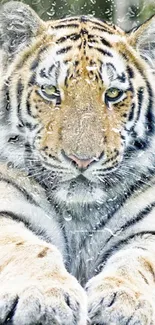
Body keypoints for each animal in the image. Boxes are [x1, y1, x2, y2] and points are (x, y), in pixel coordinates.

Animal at [0, 0, 155, 322]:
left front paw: (125, 303)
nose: (82, 160)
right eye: (50, 91)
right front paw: (45, 298)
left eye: (113, 94)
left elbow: (137, 261)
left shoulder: (147, 227)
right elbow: (29, 248)